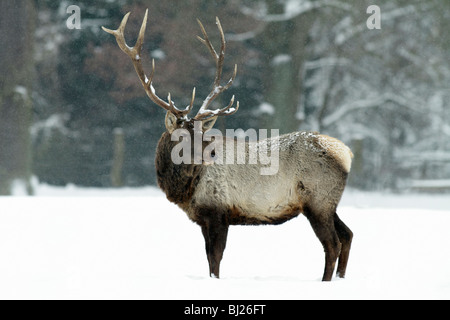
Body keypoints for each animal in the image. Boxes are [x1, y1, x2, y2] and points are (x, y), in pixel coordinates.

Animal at [103, 9, 354, 280]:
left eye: (203, 132)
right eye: (182, 135)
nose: (212, 153)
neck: (184, 189)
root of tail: (346, 153)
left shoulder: (218, 211)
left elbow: (215, 258)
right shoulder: (205, 217)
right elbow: (209, 257)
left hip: (318, 199)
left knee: (333, 243)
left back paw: (325, 281)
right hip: (328, 203)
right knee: (347, 235)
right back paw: (340, 278)